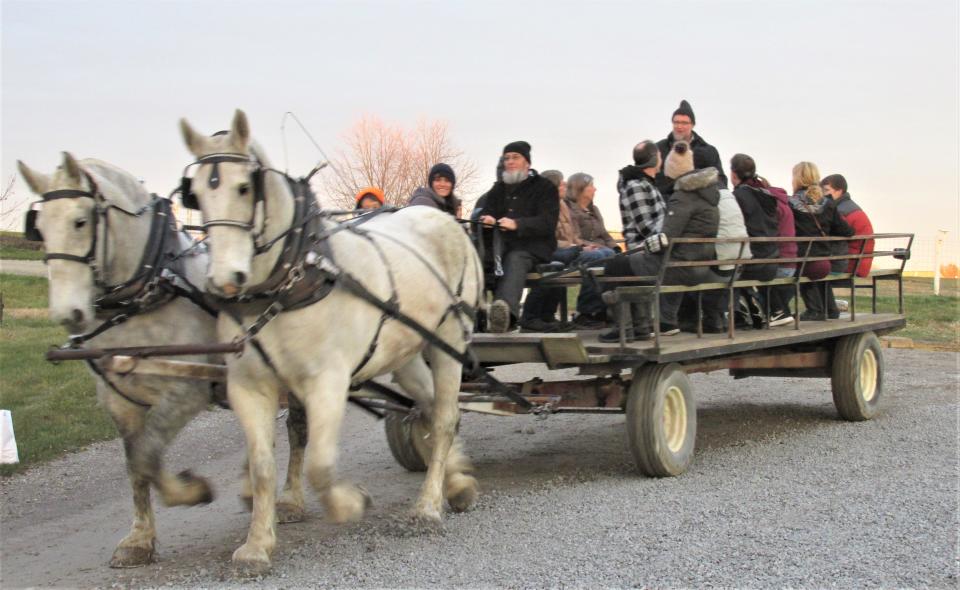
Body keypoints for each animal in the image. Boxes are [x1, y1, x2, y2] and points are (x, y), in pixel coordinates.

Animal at [16, 155, 308, 572]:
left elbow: (149, 453)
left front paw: (192, 491)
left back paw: (291, 499)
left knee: (297, 431)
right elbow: (135, 464)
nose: (68, 313)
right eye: (38, 227)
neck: (148, 293)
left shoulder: (186, 390)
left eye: (80, 221)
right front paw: (139, 540)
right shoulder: (117, 399)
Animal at [177, 110, 484, 572]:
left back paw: (429, 506)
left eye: (245, 187)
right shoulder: (249, 386)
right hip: (406, 351)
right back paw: (458, 479)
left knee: (446, 417)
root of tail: (446, 221)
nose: (225, 279)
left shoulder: (327, 382)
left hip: (449, 339)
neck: (288, 283)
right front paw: (257, 545)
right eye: (194, 193)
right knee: (431, 409)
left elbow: (320, 465)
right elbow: (262, 467)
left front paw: (349, 502)